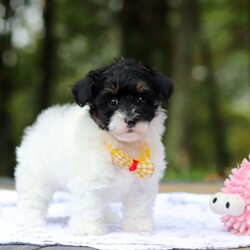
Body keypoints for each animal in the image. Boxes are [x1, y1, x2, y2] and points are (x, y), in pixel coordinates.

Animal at [14, 58, 173, 234]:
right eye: (112, 102)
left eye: (140, 99)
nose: (131, 120)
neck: (122, 146)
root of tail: (41, 123)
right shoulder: (88, 180)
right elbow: (88, 204)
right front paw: (88, 228)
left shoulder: (142, 185)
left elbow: (139, 205)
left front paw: (139, 225)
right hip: (36, 173)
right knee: (32, 196)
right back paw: (29, 220)